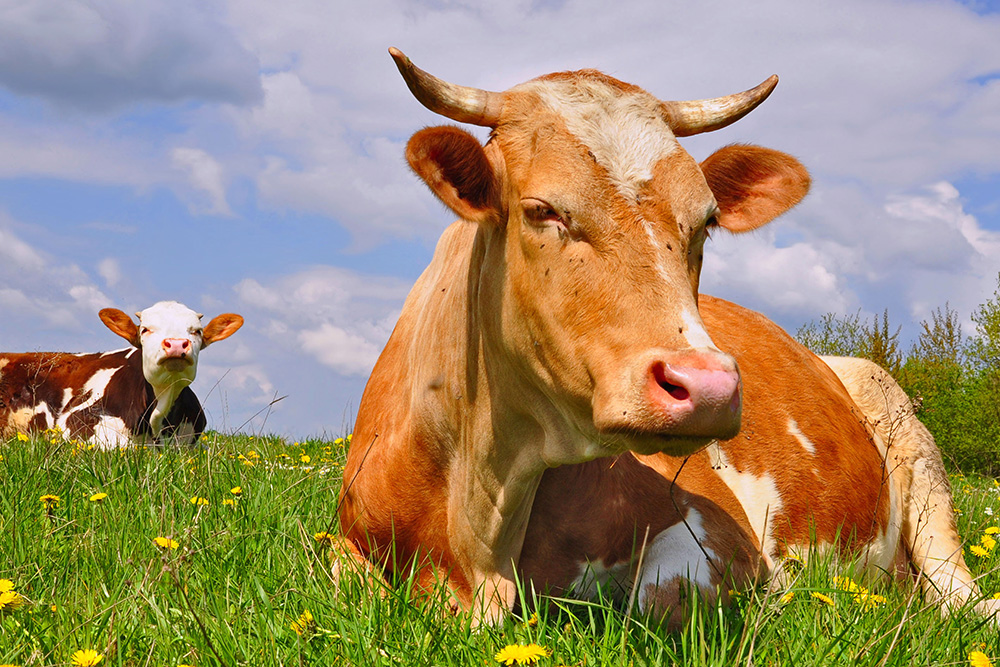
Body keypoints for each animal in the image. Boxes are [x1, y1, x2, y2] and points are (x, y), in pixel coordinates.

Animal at [334, 48, 992, 628]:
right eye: (542, 209)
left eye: (707, 219)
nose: (708, 387)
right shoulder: (342, 547)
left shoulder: (719, 529)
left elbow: (663, 602)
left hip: (921, 467)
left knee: (962, 598)